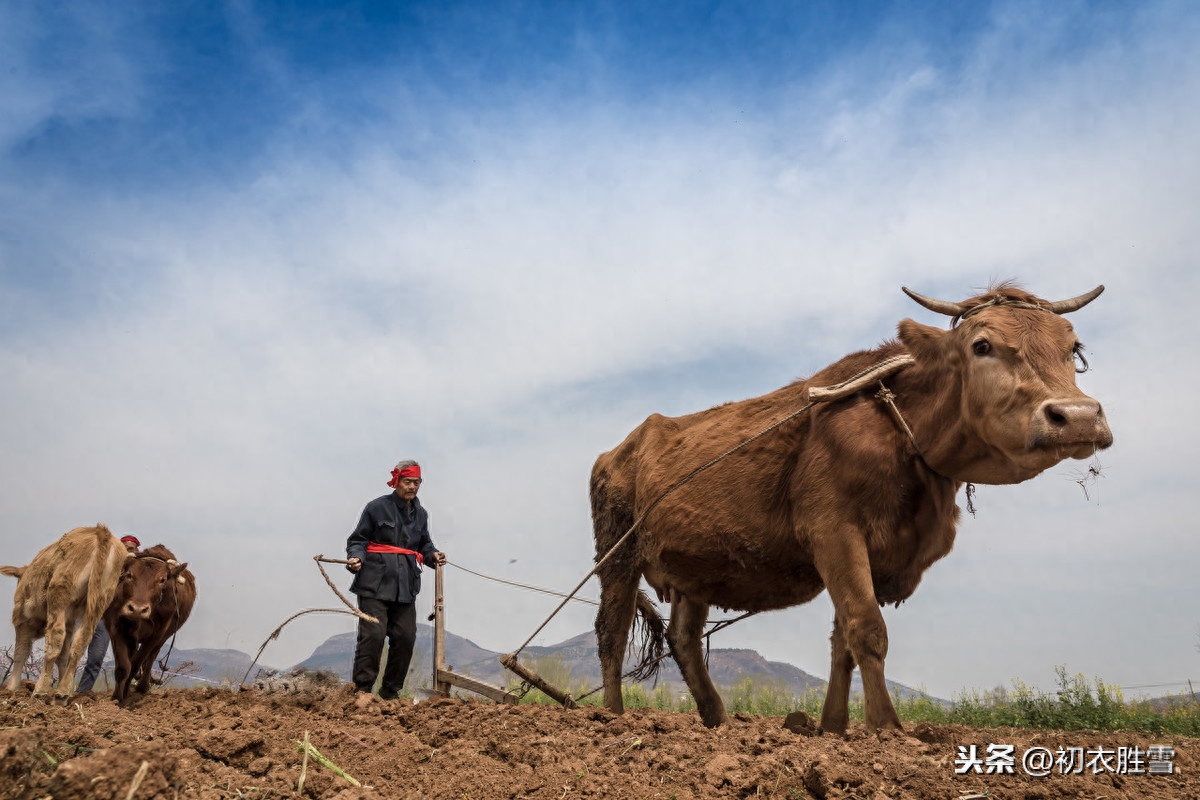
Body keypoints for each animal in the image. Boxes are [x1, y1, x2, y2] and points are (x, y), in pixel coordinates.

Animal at [2, 525, 127, 700]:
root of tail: (101, 532)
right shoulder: (70, 620)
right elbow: (64, 655)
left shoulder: (22, 619)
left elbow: (21, 652)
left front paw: (11, 688)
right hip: (99, 602)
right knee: (80, 641)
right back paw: (63, 692)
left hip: (59, 597)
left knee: (55, 639)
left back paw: (40, 690)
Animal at [103, 544, 196, 705]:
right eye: (129, 575)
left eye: (162, 580)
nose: (137, 609)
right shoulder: (117, 629)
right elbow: (123, 667)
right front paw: (117, 699)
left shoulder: (156, 635)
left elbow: (135, 664)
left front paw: (127, 696)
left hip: (163, 637)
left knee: (151, 657)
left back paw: (142, 686)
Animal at [592, 283, 1113, 734]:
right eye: (981, 345)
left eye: (1073, 348)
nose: (1078, 417)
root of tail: (621, 446)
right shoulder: (834, 532)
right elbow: (867, 629)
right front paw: (887, 728)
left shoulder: (871, 551)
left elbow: (842, 641)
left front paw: (834, 726)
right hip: (617, 554)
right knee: (610, 632)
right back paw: (611, 718)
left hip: (693, 571)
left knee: (683, 638)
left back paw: (717, 720)